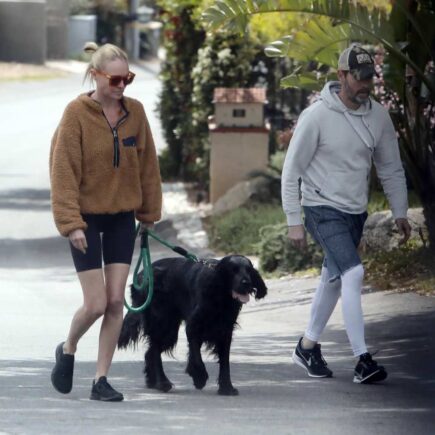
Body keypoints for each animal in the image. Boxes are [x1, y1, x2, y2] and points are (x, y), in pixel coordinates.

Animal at [119, 255, 270, 396]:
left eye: (249, 270)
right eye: (233, 270)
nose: (247, 283)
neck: (220, 296)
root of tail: (140, 275)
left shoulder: (225, 331)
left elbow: (224, 361)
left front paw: (226, 387)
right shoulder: (194, 326)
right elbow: (196, 355)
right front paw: (199, 377)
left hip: (169, 331)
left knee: (149, 352)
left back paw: (152, 382)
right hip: (163, 324)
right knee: (155, 350)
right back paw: (163, 382)